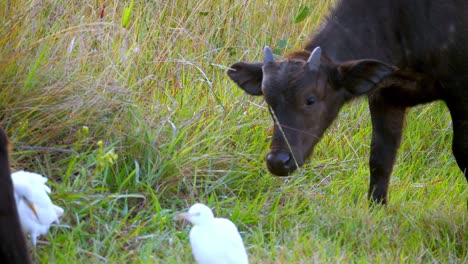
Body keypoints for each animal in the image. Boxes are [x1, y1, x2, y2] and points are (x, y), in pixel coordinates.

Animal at [226, 0, 464, 204]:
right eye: (268, 100)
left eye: (310, 99)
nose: (278, 161)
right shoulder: (385, 97)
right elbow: (380, 159)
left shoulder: (459, 90)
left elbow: (461, 152)